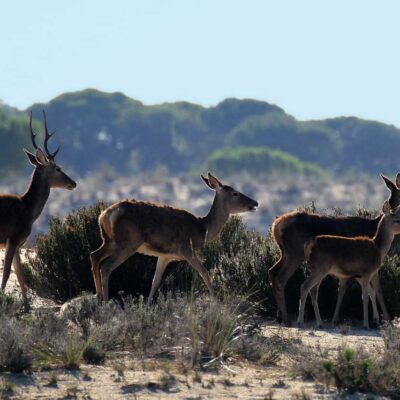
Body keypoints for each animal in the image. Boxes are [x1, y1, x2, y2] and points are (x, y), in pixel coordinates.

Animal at [0, 111, 76, 302]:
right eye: (58, 168)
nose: (74, 183)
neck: (27, 209)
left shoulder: (18, 243)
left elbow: (20, 277)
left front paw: (26, 304)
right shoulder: (13, 237)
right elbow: (7, 274)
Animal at [90, 173, 260, 302]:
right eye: (235, 193)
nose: (256, 202)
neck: (203, 229)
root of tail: (105, 215)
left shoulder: (165, 255)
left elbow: (155, 281)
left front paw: (148, 305)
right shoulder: (187, 249)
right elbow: (205, 273)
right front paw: (218, 303)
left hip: (110, 240)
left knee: (94, 256)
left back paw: (98, 296)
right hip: (128, 242)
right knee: (106, 266)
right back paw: (105, 301)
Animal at [296, 202, 400, 330]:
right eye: (397, 220)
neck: (379, 248)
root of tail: (309, 243)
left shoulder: (363, 275)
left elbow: (373, 292)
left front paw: (377, 320)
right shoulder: (366, 272)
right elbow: (366, 296)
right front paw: (367, 324)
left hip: (318, 270)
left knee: (313, 290)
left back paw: (319, 323)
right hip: (320, 268)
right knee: (305, 286)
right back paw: (300, 322)